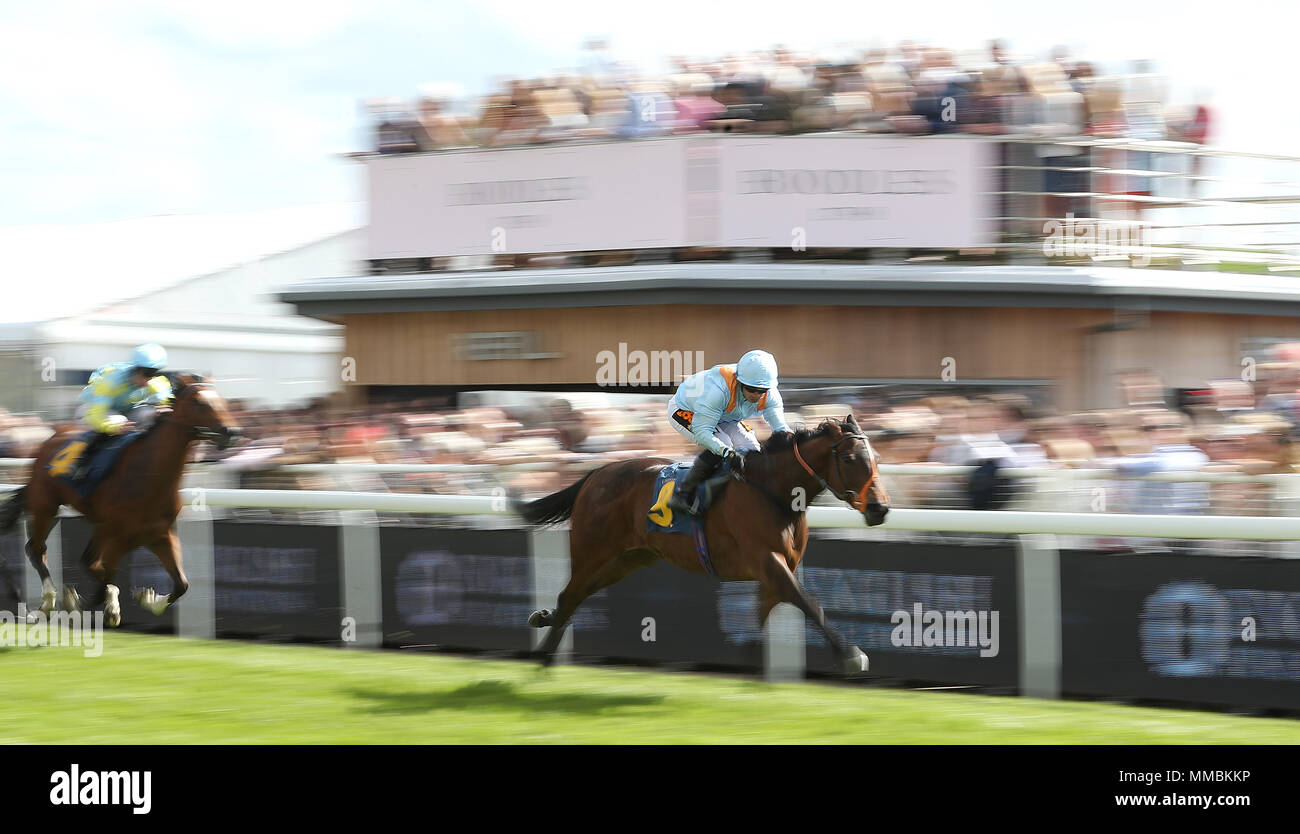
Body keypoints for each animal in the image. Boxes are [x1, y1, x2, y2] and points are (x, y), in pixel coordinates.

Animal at [0, 374, 241, 623]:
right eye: (198, 403)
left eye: (222, 401)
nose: (232, 432)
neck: (149, 478)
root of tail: (47, 441)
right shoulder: (114, 532)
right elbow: (98, 571)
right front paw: (85, 602)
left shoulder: (158, 535)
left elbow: (181, 584)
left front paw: (147, 600)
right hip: (45, 506)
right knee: (37, 549)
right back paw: (48, 600)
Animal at [512, 413, 889, 670]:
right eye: (850, 459)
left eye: (875, 459)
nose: (880, 508)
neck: (775, 492)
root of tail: (596, 473)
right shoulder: (768, 562)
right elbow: (809, 602)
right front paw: (851, 654)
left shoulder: (776, 570)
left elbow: (764, 615)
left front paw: (749, 661)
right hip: (592, 550)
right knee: (570, 593)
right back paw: (544, 654)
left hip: (626, 559)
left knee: (578, 595)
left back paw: (544, 621)